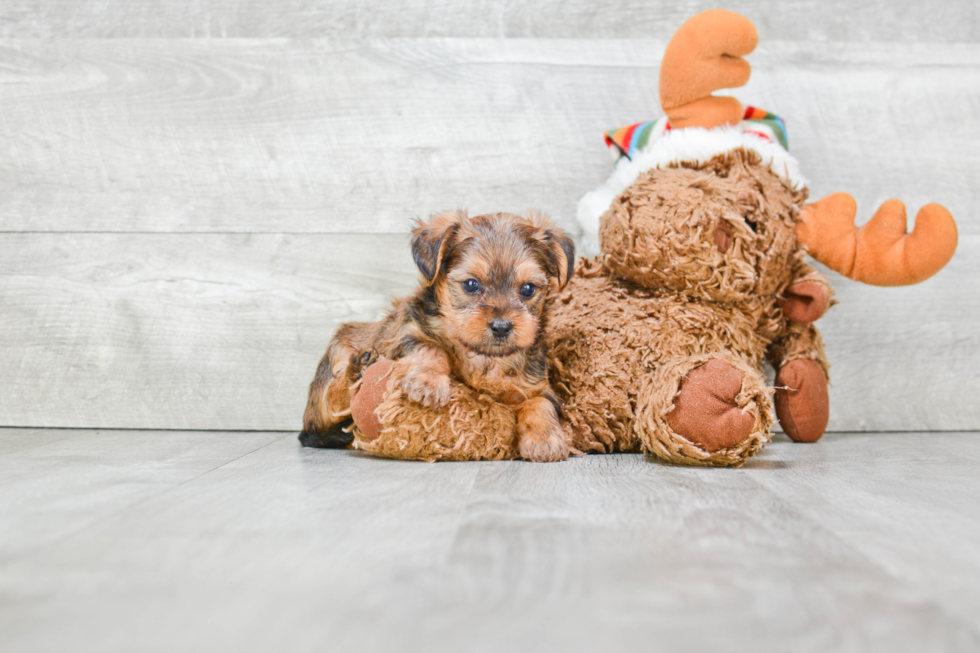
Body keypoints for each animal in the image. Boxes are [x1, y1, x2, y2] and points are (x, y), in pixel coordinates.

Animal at [298, 211, 576, 460]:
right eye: (471, 285)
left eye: (528, 289)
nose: (501, 326)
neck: (484, 358)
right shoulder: (405, 332)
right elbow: (432, 347)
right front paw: (428, 383)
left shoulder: (536, 384)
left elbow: (540, 403)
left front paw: (544, 440)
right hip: (337, 355)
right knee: (328, 408)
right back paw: (356, 370)